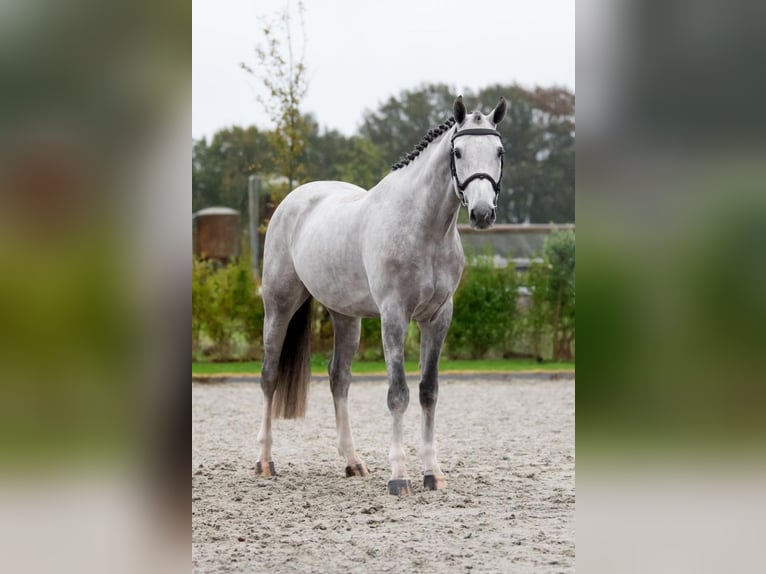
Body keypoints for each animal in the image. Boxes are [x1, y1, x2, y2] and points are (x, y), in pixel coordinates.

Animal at [258, 95, 510, 496]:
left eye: (499, 151)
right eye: (457, 152)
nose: (483, 213)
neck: (424, 229)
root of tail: (293, 199)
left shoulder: (438, 318)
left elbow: (428, 391)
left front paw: (432, 473)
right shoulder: (394, 317)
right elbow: (398, 394)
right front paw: (399, 476)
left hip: (345, 316)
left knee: (339, 378)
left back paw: (353, 462)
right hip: (278, 305)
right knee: (269, 376)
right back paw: (265, 462)